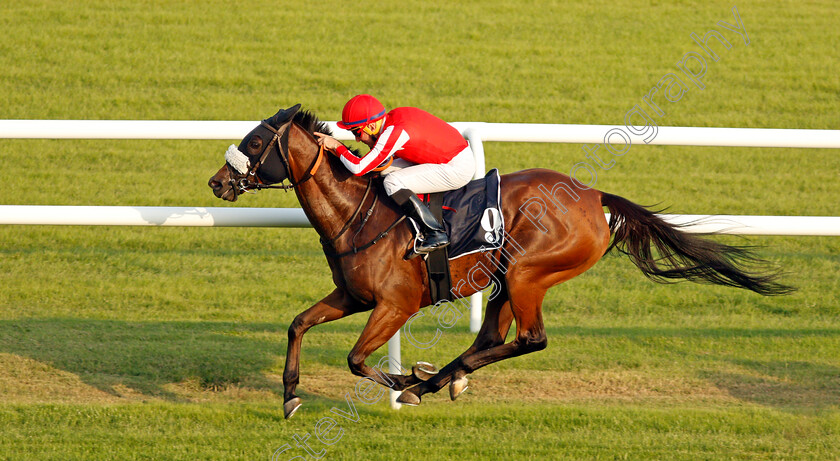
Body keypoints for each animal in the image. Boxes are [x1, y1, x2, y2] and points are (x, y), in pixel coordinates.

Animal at [207, 104, 792, 416]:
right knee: (492, 336)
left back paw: (429, 380)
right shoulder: (353, 296)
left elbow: (355, 359)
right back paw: (439, 378)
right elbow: (298, 323)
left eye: (254, 142)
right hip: (507, 279)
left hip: (528, 271)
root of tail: (592, 195)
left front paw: (400, 384)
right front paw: (290, 396)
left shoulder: (395, 305)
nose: (216, 181)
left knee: (529, 340)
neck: (360, 216)